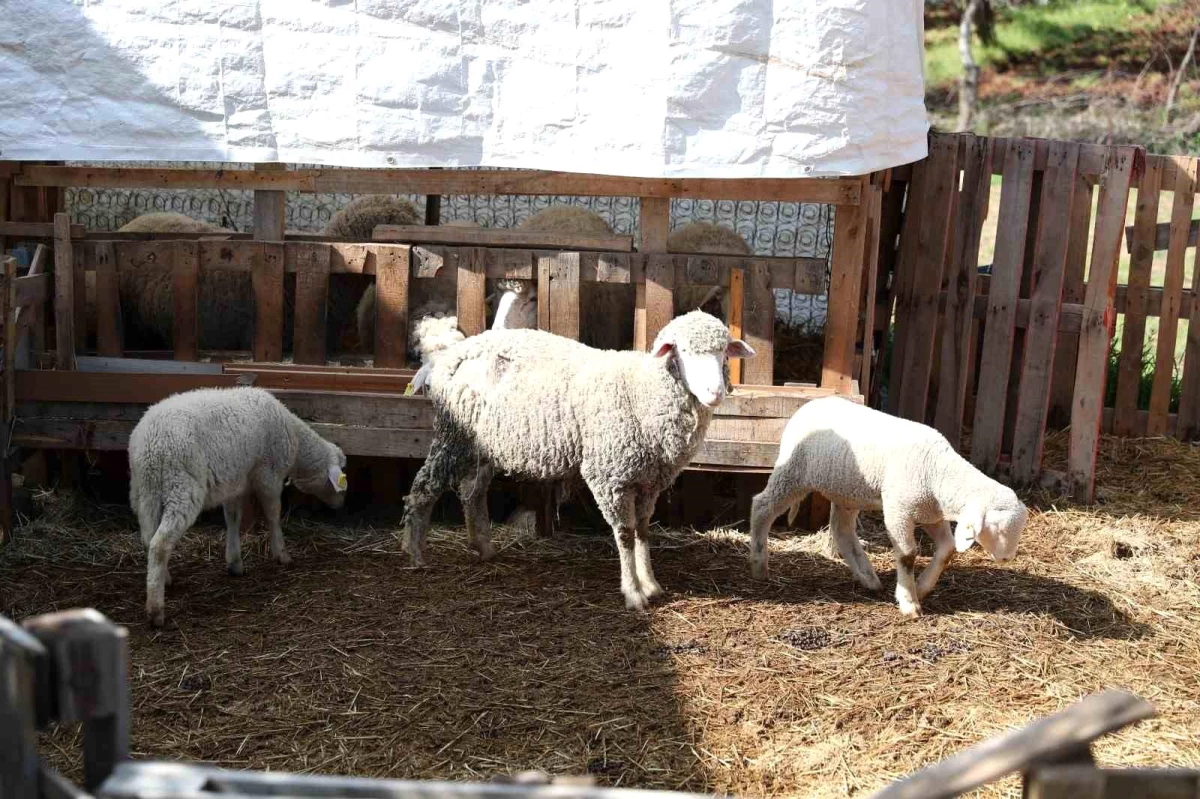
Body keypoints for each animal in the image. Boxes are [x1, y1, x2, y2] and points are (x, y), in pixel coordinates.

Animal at [129, 388, 350, 623]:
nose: (342, 504)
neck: (297, 440)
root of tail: (150, 444)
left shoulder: (235, 482)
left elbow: (233, 518)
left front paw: (235, 563)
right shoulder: (268, 475)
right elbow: (273, 514)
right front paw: (281, 554)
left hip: (145, 492)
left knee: (148, 539)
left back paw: (164, 579)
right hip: (180, 488)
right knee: (160, 544)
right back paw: (155, 610)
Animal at [400, 307, 748, 607]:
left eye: (723, 352)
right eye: (684, 351)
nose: (715, 393)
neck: (641, 389)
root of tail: (450, 354)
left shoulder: (650, 481)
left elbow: (643, 531)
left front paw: (650, 583)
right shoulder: (611, 476)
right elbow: (625, 534)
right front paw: (633, 592)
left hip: (484, 444)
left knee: (472, 492)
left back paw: (484, 547)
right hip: (453, 435)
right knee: (423, 487)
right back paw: (414, 553)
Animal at [744, 395, 1027, 614]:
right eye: (997, 529)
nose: (1007, 558)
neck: (937, 471)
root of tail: (808, 405)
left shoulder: (928, 512)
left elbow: (947, 549)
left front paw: (922, 586)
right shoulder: (898, 511)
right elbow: (907, 555)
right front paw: (909, 601)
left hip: (846, 489)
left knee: (841, 530)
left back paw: (867, 577)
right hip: (793, 472)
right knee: (762, 506)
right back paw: (759, 564)